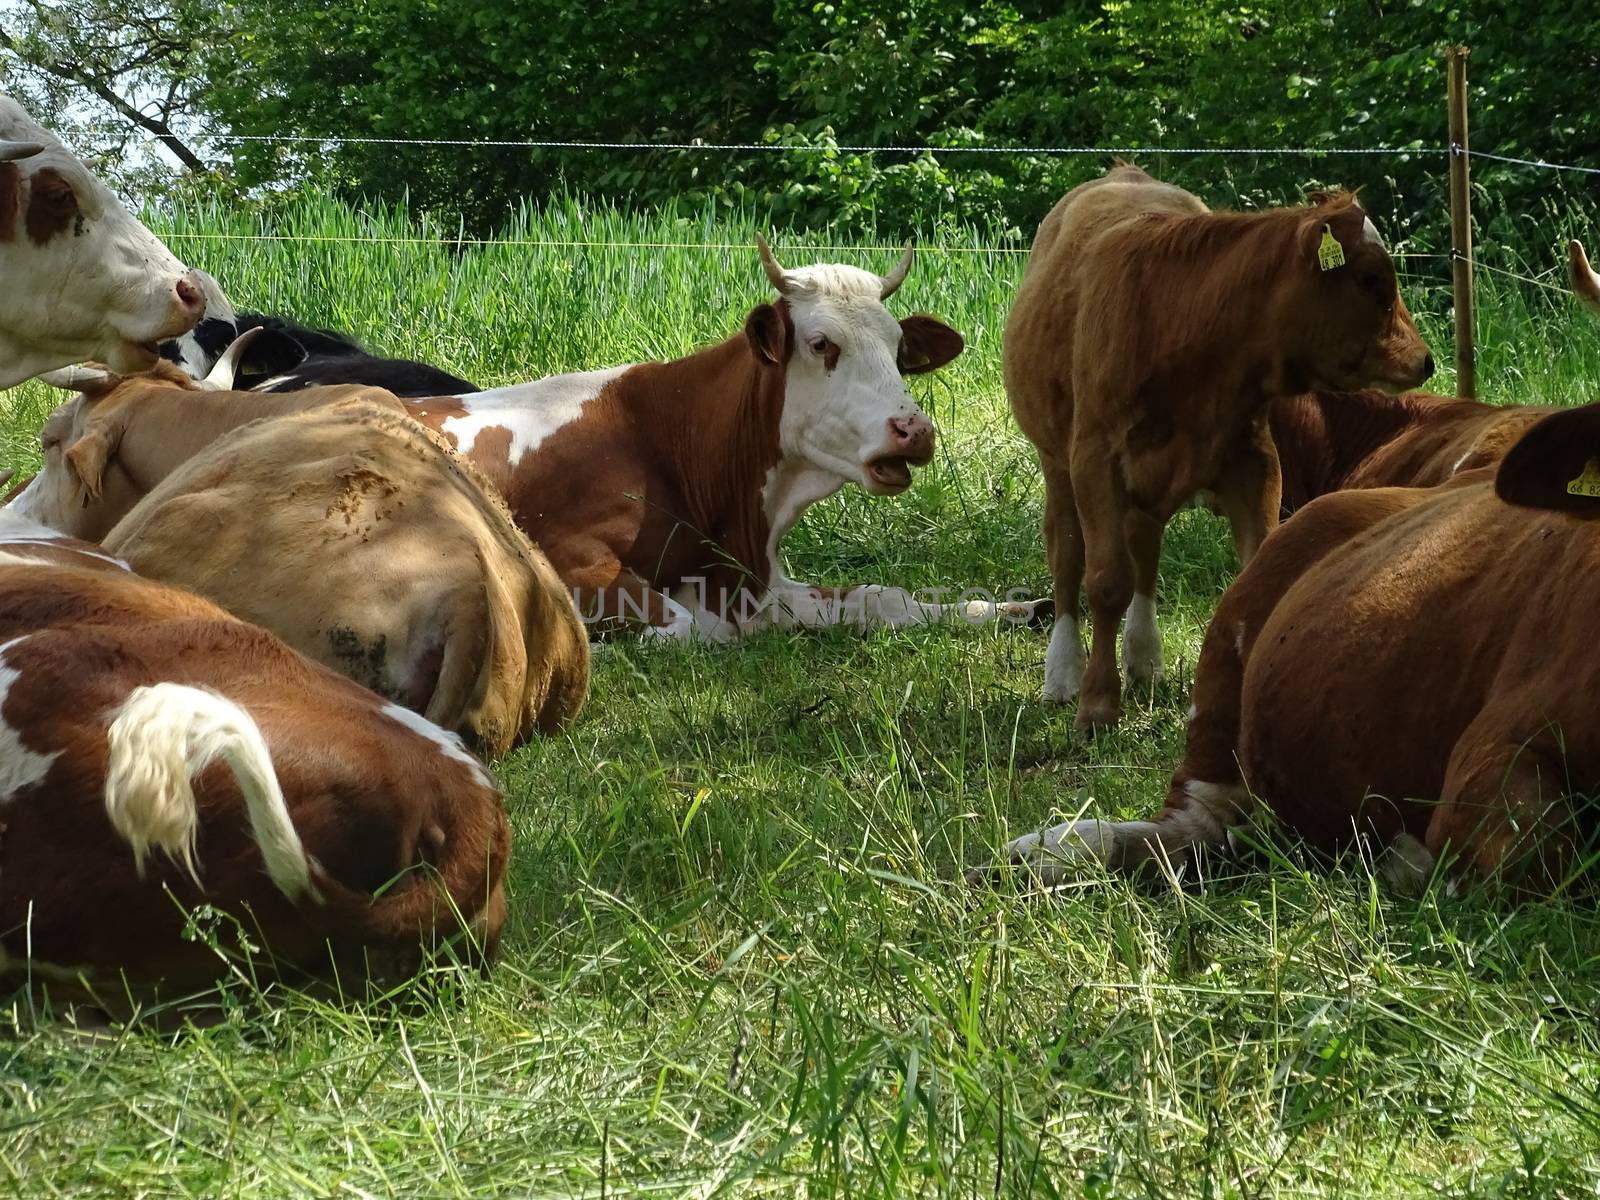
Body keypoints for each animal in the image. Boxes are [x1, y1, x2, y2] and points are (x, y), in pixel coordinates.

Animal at [400, 238, 1024, 643]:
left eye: (897, 349)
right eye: (821, 344)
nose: (914, 430)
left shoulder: (758, 580)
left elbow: (886, 596)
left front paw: (1012, 608)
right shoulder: (569, 558)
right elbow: (686, 629)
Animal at [1004, 163, 1433, 729]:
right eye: (1370, 278)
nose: (1425, 360)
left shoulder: (1254, 459)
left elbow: (1254, 571)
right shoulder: (1095, 459)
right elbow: (1107, 579)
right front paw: (1096, 704)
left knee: (1145, 548)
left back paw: (1143, 657)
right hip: (1057, 460)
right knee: (1068, 552)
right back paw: (1063, 673)